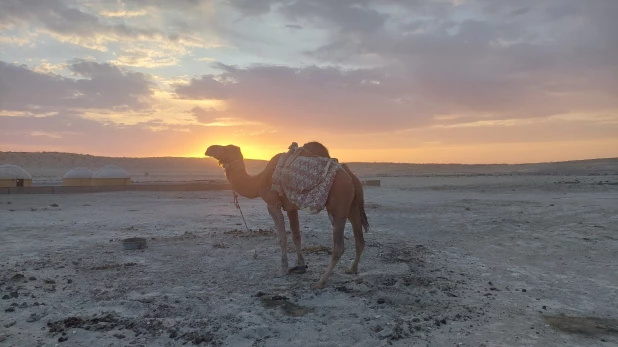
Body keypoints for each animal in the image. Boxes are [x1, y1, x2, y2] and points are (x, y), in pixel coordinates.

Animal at [207, 142, 368, 290]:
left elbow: (282, 237)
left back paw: (320, 281)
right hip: (352, 206)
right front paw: (301, 266)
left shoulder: (272, 204)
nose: (209, 149)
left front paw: (283, 269)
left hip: (338, 206)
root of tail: (351, 177)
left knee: (339, 246)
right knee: (359, 238)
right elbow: (296, 236)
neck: (258, 182)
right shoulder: (291, 207)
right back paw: (352, 269)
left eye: (226, 148)